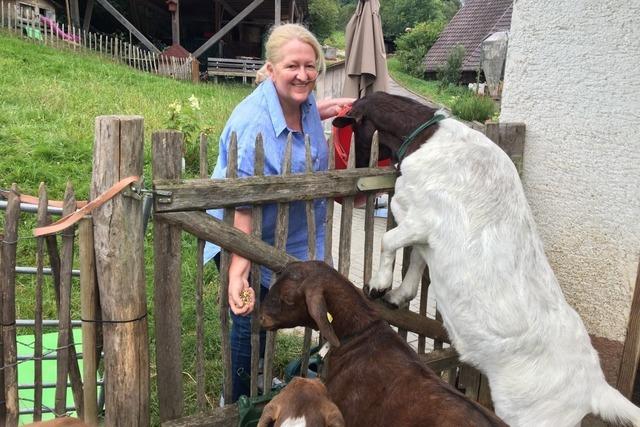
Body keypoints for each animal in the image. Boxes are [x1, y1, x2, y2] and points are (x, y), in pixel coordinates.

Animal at [332, 91, 640, 427]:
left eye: (352, 128)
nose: (356, 197)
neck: (428, 136)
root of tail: (594, 387)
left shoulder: (423, 218)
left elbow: (389, 240)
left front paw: (378, 285)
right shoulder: (426, 233)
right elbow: (418, 259)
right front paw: (399, 295)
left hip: (533, 417)